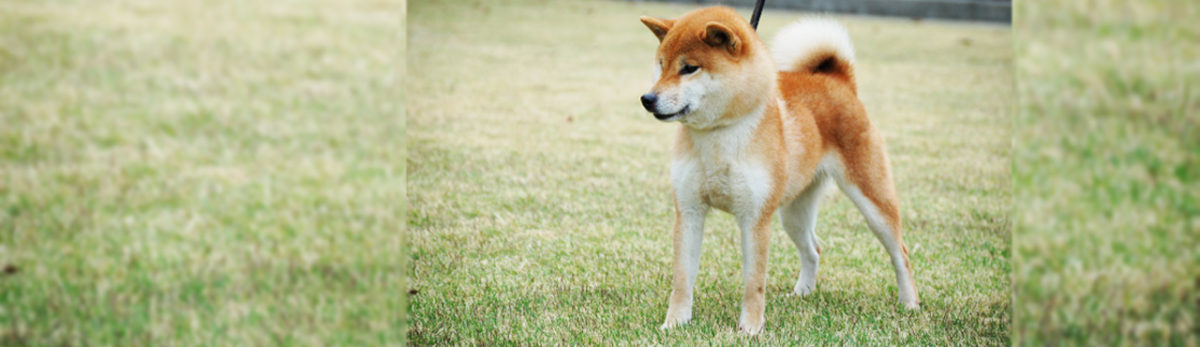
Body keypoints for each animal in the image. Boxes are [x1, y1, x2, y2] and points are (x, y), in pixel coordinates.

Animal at [643, 7, 921, 331]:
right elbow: (682, 279)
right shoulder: (689, 211)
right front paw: (674, 324)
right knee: (813, 249)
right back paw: (802, 293)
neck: (719, 135)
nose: (647, 99)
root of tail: (838, 80)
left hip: (873, 203)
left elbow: (754, 284)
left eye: (690, 68)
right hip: (793, 214)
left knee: (900, 253)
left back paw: (909, 303)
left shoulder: (755, 219)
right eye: (661, 65)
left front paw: (749, 330)